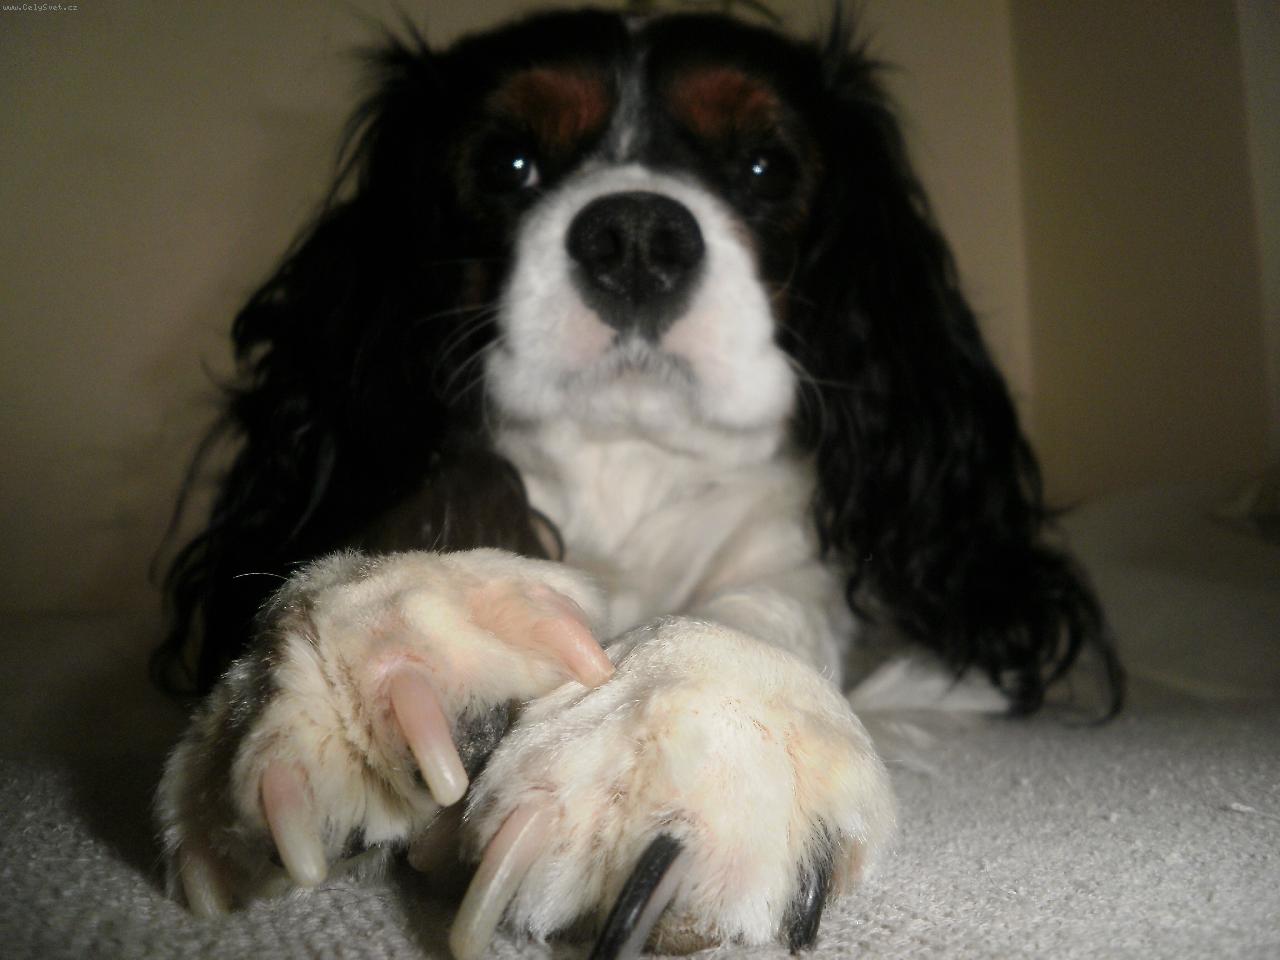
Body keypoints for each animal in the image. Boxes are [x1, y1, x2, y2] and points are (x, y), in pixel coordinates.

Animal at [152, 6, 1123, 957]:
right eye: (508, 163)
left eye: (766, 166)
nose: (634, 239)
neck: (631, 458)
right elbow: (439, 490)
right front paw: (381, 634)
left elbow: (774, 601)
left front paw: (691, 718)